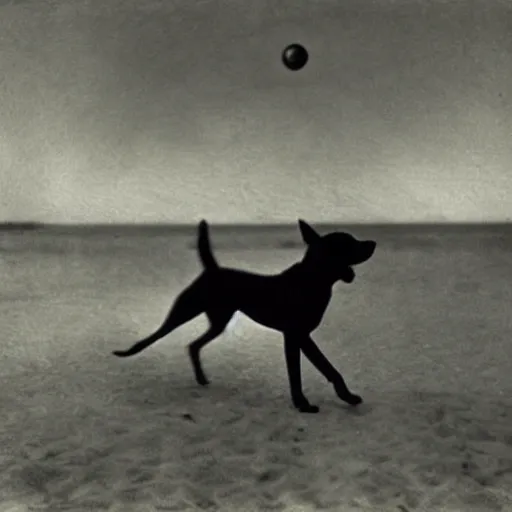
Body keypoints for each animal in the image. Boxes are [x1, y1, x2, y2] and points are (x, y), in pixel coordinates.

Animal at [112, 219, 376, 412]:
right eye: (350, 243)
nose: (373, 242)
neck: (312, 280)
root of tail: (212, 269)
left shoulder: (302, 337)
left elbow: (328, 369)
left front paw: (347, 397)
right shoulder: (295, 336)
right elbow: (301, 373)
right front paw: (302, 404)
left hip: (219, 321)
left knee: (194, 345)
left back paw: (201, 378)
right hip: (184, 310)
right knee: (156, 336)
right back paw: (127, 352)